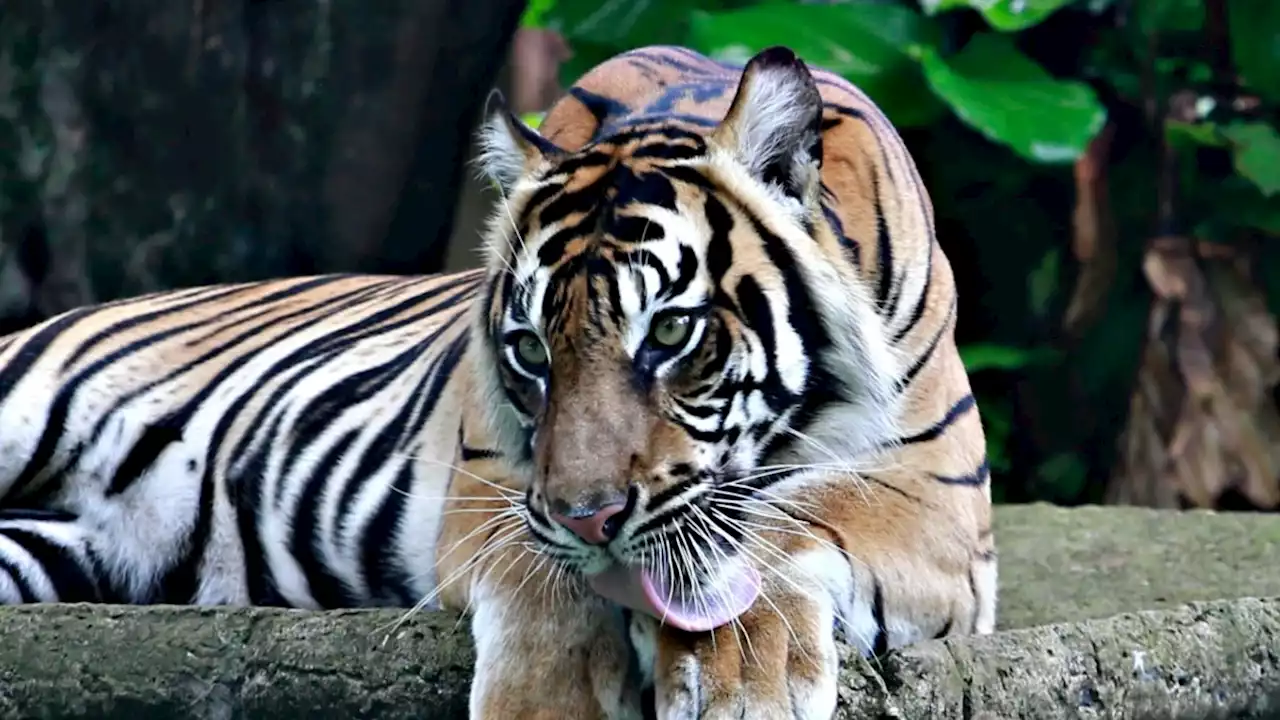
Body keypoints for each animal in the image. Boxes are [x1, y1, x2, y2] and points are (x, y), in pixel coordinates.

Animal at [0, 46, 988, 717]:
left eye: (672, 331)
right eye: (530, 352)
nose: (591, 517)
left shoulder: (936, 500)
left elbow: (786, 520)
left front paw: (748, 681)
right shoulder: (492, 484)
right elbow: (548, 579)